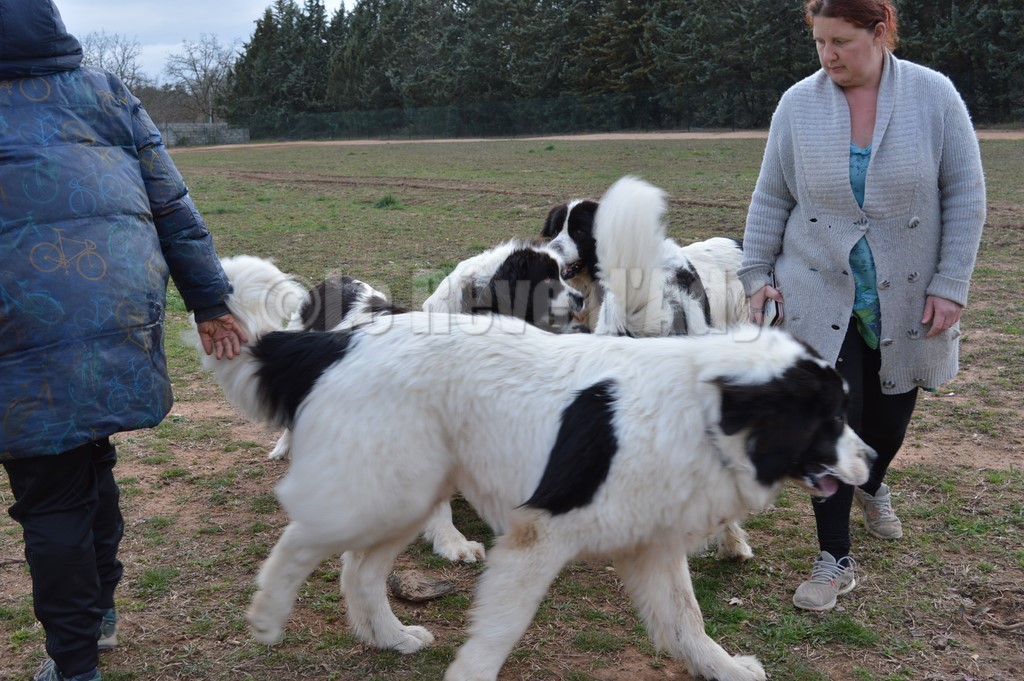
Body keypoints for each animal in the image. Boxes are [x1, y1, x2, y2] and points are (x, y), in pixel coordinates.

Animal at [194, 255, 874, 681]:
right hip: (386, 492)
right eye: (828, 417)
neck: (697, 412)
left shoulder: (652, 548)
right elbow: (495, 637)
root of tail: (346, 339)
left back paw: (391, 638)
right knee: (303, 540)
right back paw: (268, 614)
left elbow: (688, 623)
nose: (871, 460)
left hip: (405, 496)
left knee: (358, 572)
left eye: (844, 408)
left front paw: (726, 668)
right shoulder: (536, 539)